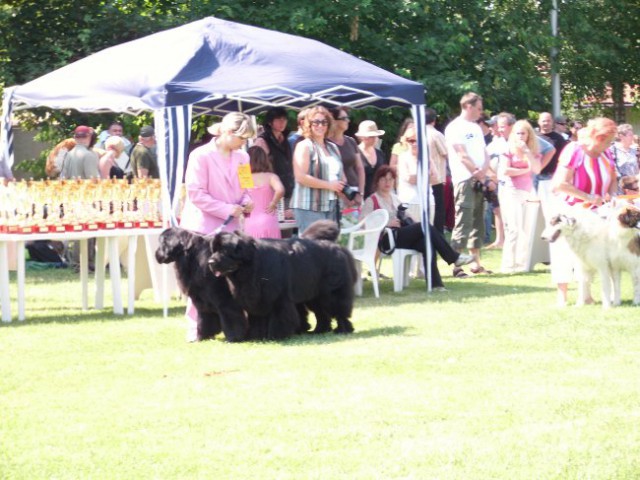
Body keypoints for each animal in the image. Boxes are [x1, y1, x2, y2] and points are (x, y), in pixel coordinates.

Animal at [208, 219, 358, 340]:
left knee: (340, 310)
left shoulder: (278, 298)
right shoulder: (257, 300)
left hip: (331, 292)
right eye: (213, 250)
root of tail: (338, 248)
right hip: (314, 294)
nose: (210, 262)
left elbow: (280, 318)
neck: (252, 266)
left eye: (224, 251)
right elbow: (257, 320)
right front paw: (255, 336)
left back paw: (343, 329)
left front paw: (276, 336)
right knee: (321, 313)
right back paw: (320, 330)